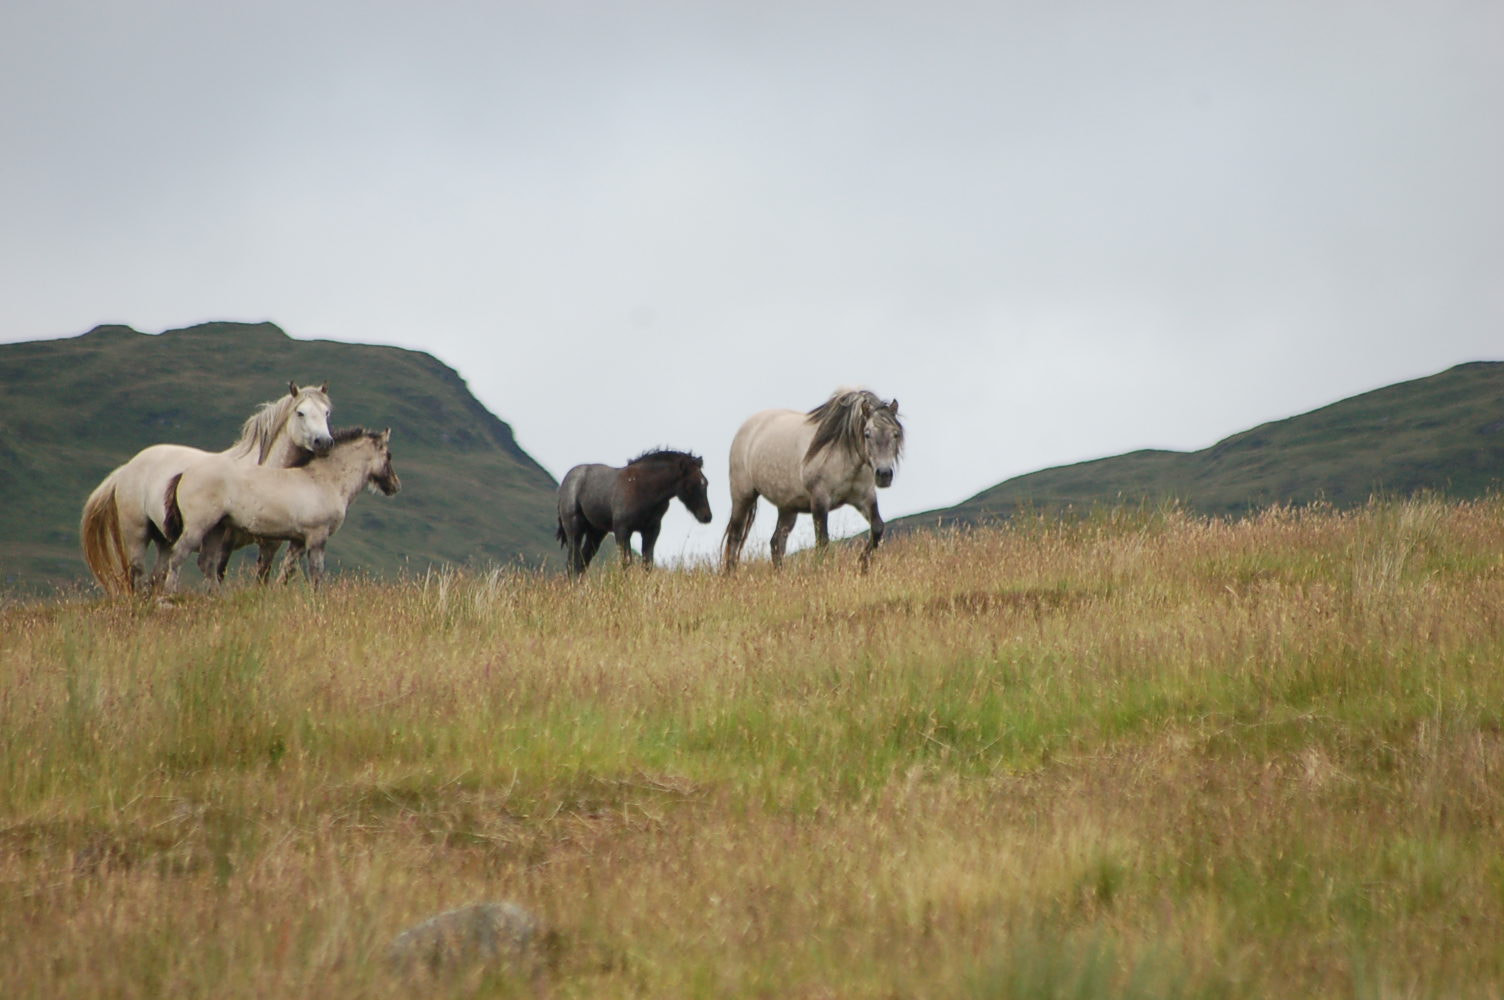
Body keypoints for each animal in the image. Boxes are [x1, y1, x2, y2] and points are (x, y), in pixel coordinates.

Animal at [80, 381, 335, 592]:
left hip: (164, 540)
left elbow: (267, 577)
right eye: (300, 413)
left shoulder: (271, 544)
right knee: (138, 573)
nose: (323, 442)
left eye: (326, 412)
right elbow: (218, 573)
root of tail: (127, 468)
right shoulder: (225, 542)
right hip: (137, 533)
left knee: (157, 575)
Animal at [159, 424, 400, 592]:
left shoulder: (298, 540)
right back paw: (169, 597)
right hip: (198, 525)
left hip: (217, 528)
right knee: (178, 556)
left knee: (206, 563)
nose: (395, 486)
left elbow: (286, 572)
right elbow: (316, 573)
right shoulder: (317, 536)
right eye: (389, 455)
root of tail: (184, 474)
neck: (324, 480)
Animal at [556, 445, 712, 577]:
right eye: (692, 484)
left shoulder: (651, 531)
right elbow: (626, 562)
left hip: (596, 532)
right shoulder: (622, 530)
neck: (644, 489)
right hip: (574, 527)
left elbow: (647, 564)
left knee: (583, 562)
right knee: (572, 562)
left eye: (706, 482)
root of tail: (566, 482)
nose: (707, 516)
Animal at [718, 384, 896, 568]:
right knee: (735, 538)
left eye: (895, 434)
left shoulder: (865, 497)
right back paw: (730, 572)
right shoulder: (819, 500)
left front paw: (862, 565)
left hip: (787, 507)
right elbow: (822, 542)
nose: (884, 474)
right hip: (743, 496)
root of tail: (747, 427)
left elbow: (877, 528)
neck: (845, 457)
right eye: (867, 434)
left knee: (776, 543)